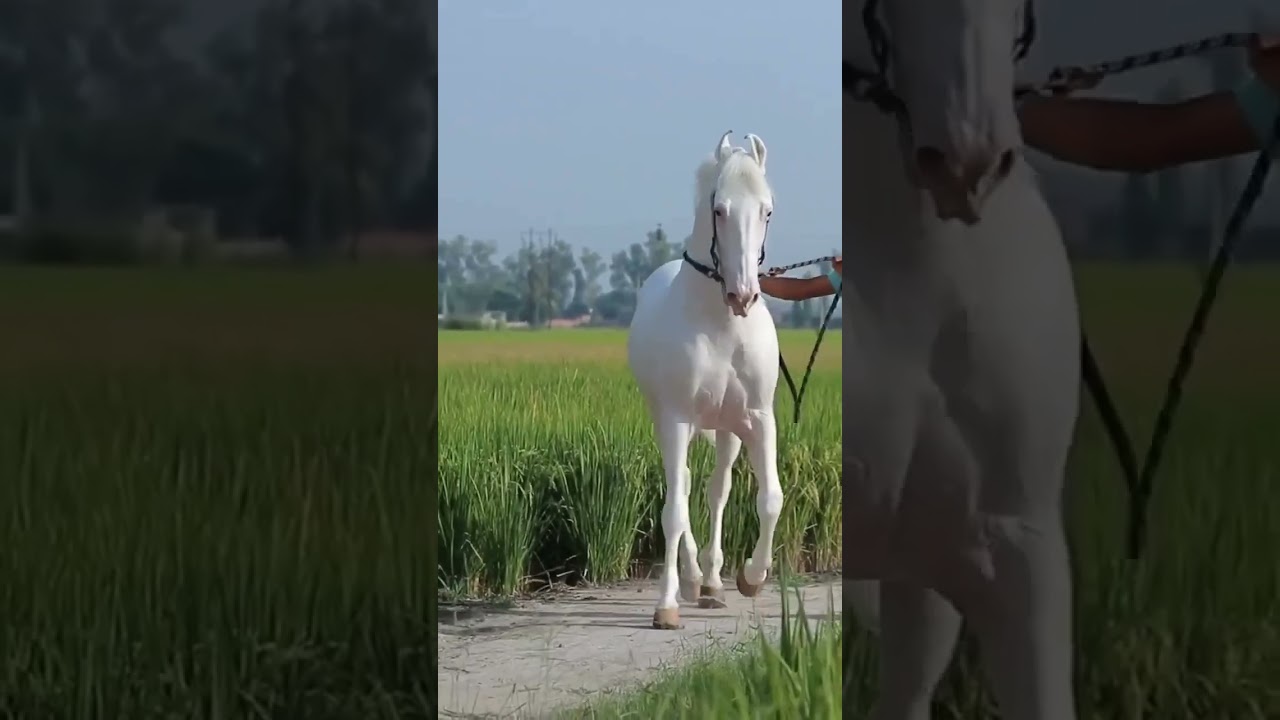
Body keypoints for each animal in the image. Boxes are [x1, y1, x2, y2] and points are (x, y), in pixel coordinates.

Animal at [626, 131, 782, 631]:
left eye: (766, 210)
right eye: (719, 210)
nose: (743, 295)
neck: (721, 325)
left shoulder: (759, 418)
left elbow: (769, 499)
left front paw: (751, 576)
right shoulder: (676, 419)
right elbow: (674, 510)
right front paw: (667, 605)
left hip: (726, 428)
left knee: (716, 491)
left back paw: (712, 583)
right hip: (670, 421)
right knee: (684, 487)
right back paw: (694, 579)